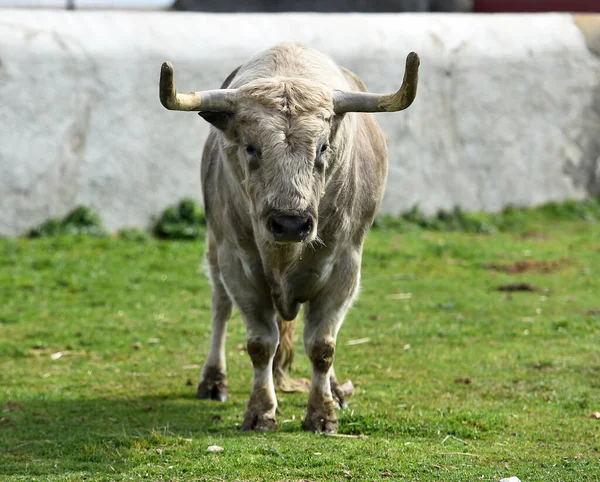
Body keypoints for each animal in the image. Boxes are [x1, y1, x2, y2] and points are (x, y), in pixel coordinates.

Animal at [159, 42, 422, 434]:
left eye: (324, 147)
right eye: (251, 147)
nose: (289, 223)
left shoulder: (345, 267)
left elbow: (323, 345)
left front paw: (322, 413)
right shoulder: (237, 264)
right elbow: (260, 344)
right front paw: (260, 411)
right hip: (215, 249)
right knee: (220, 307)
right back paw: (213, 381)